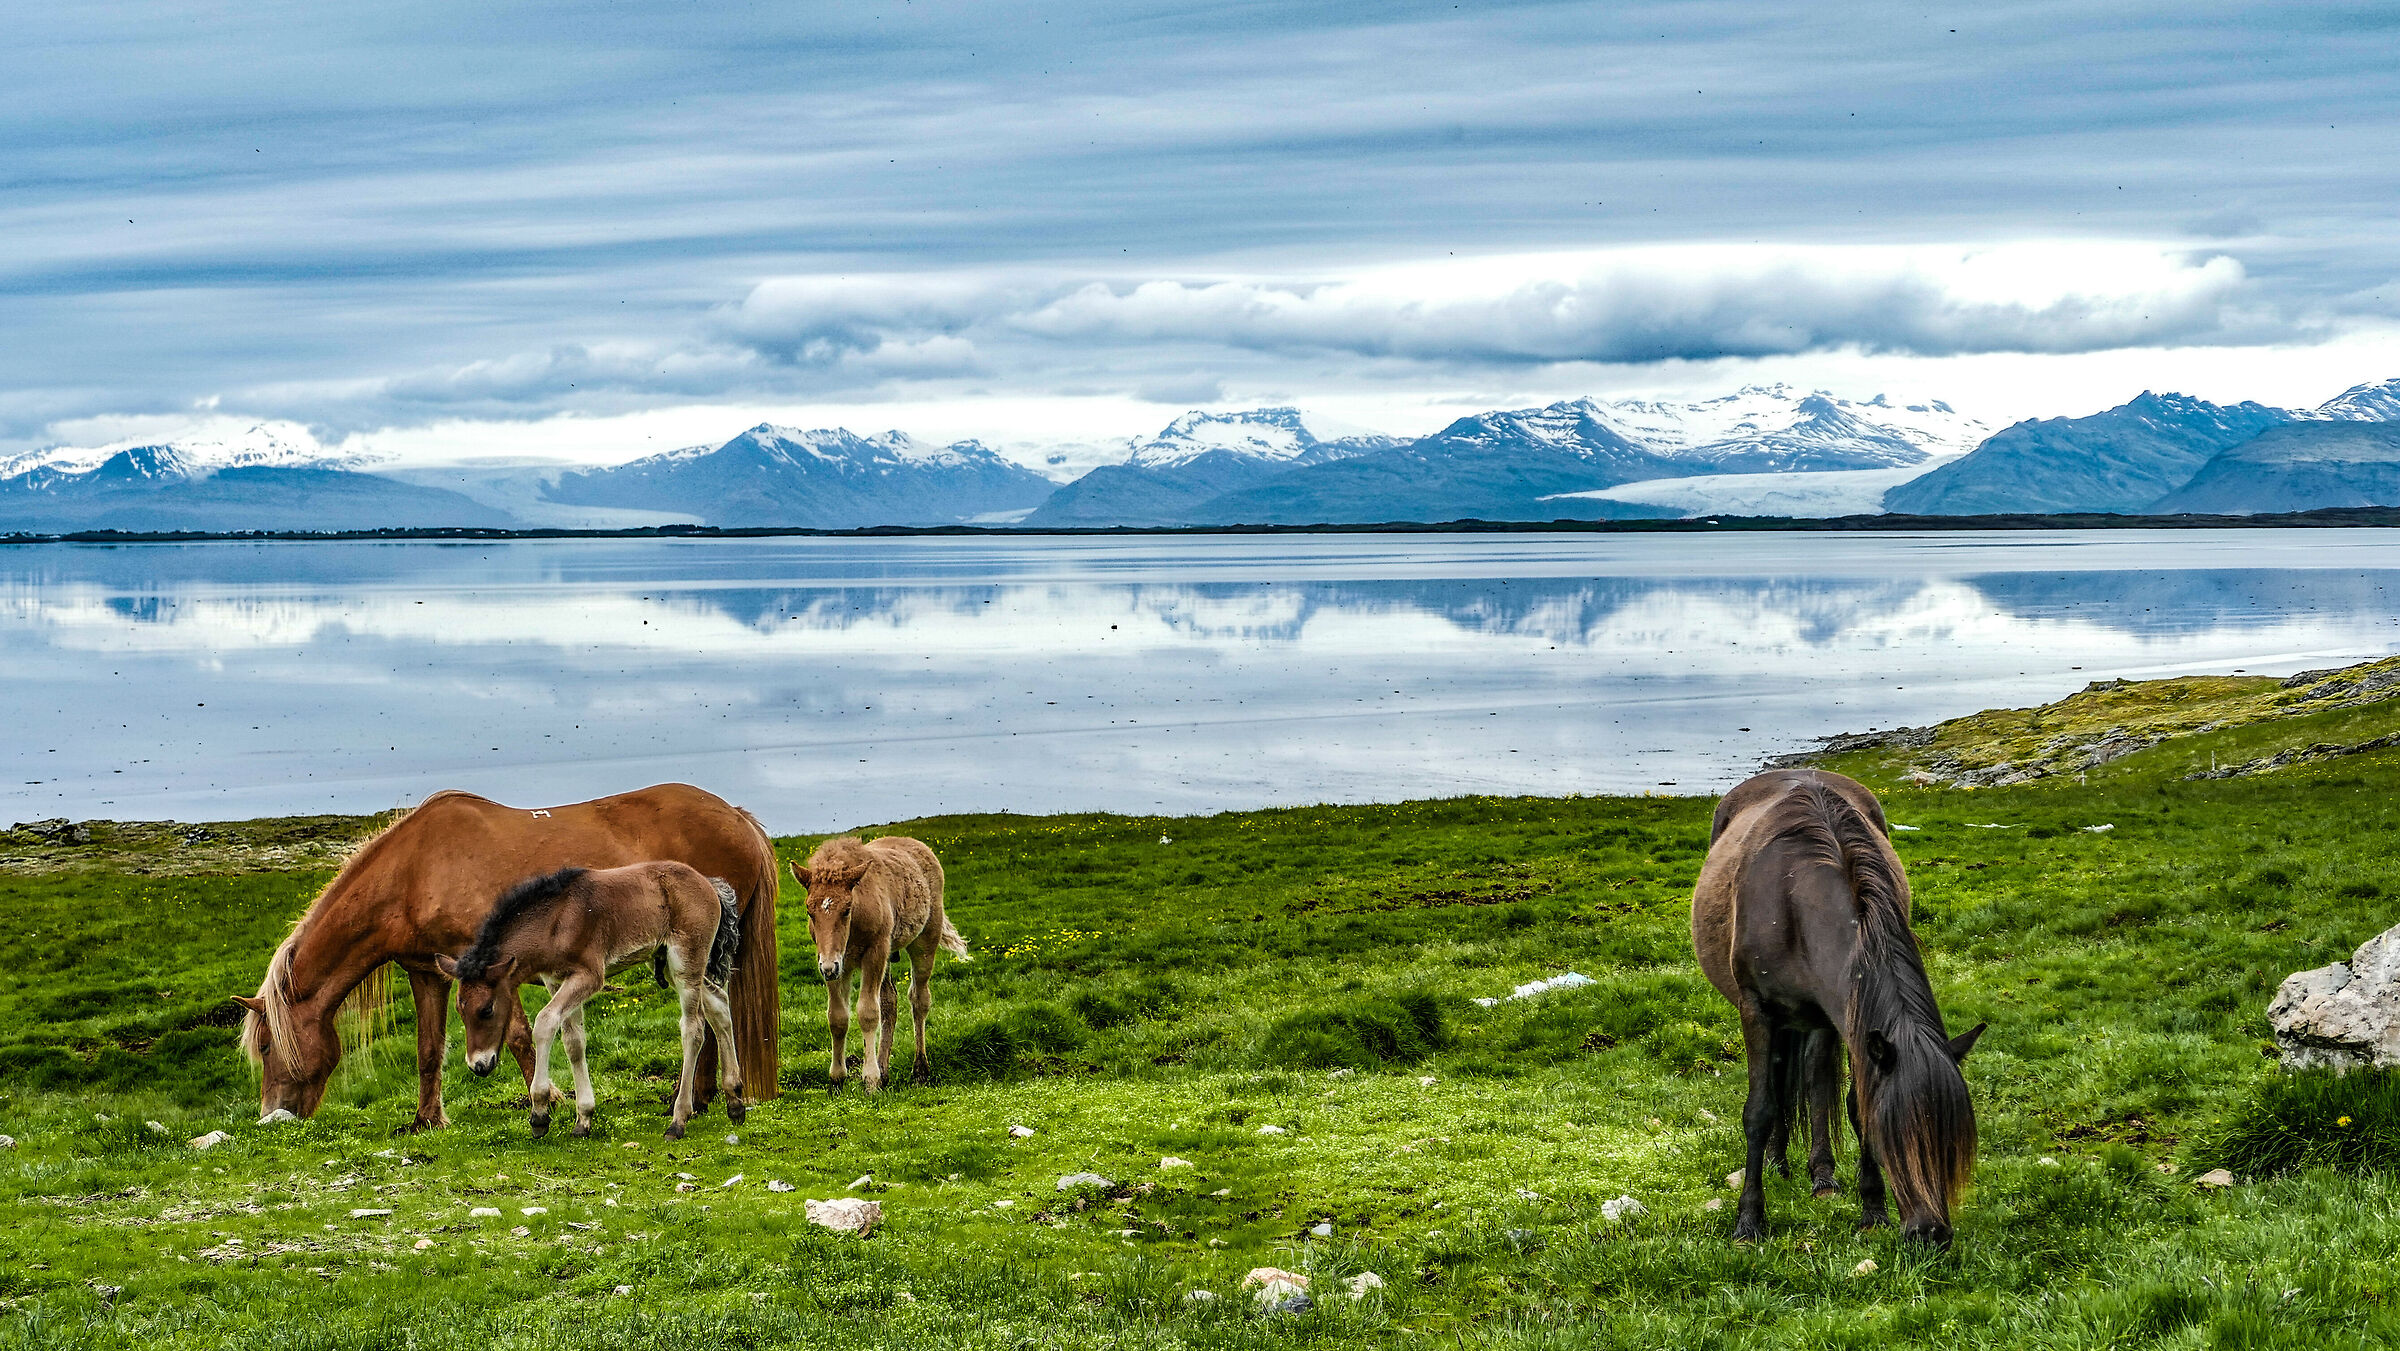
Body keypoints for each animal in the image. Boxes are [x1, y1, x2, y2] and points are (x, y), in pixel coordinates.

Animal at [435, 862, 744, 1139]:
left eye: (487, 1009)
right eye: (459, 1010)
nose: (478, 1066)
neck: (555, 921)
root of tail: (710, 884)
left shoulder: (589, 976)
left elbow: (545, 1023)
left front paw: (539, 1113)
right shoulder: (556, 980)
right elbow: (574, 1042)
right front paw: (583, 1119)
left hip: (685, 961)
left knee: (693, 1029)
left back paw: (678, 1121)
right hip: (668, 961)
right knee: (719, 1006)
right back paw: (735, 1101)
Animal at [790, 835, 970, 1093]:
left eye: (846, 909)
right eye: (809, 911)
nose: (828, 967)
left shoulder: (874, 954)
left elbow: (867, 1012)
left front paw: (871, 1080)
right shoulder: (835, 963)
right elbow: (837, 1017)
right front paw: (838, 1077)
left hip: (924, 940)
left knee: (919, 998)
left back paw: (920, 1070)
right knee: (890, 1001)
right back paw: (885, 1071)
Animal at [1691, 768, 1986, 1247]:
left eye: (1950, 1145)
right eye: (1891, 1138)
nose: (1931, 1235)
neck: (1793, 900)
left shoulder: (1850, 1018)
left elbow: (1851, 1102)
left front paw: (1873, 1209)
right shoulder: (1756, 1010)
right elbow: (1759, 1109)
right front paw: (1749, 1220)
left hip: (1823, 1020)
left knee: (1813, 1078)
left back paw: (1822, 1175)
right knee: (1779, 1079)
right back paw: (1778, 1163)